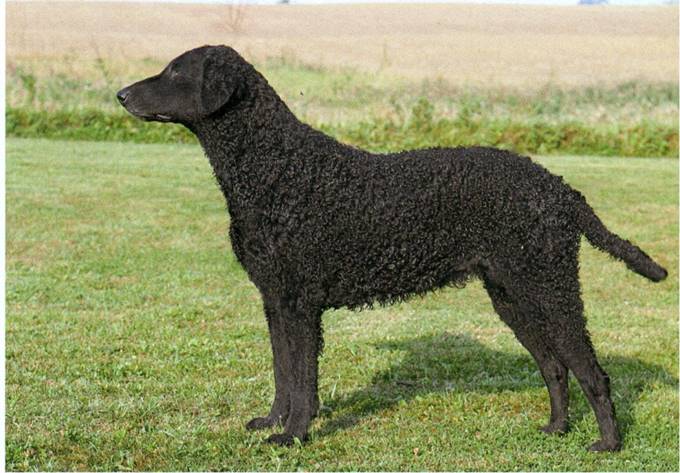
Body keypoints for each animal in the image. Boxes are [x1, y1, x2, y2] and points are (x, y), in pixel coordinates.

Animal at [115, 46, 664, 448]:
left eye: (174, 70)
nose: (120, 94)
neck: (277, 167)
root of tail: (560, 188)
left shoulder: (300, 304)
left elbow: (302, 380)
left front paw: (293, 437)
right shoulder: (275, 301)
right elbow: (282, 373)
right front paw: (272, 423)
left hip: (550, 287)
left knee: (593, 372)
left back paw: (608, 445)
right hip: (512, 295)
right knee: (553, 366)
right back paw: (555, 430)